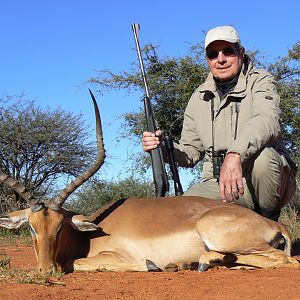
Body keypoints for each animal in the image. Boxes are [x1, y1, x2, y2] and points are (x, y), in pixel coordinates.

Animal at [0, 92, 298, 274]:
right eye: (31, 227)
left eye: (60, 227)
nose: (45, 270)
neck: (89, 235)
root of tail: (274, 224)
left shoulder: (119, 257)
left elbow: (76, 262)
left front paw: (152, 265)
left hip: (216, 233)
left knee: (284, 260)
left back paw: (194, 263)